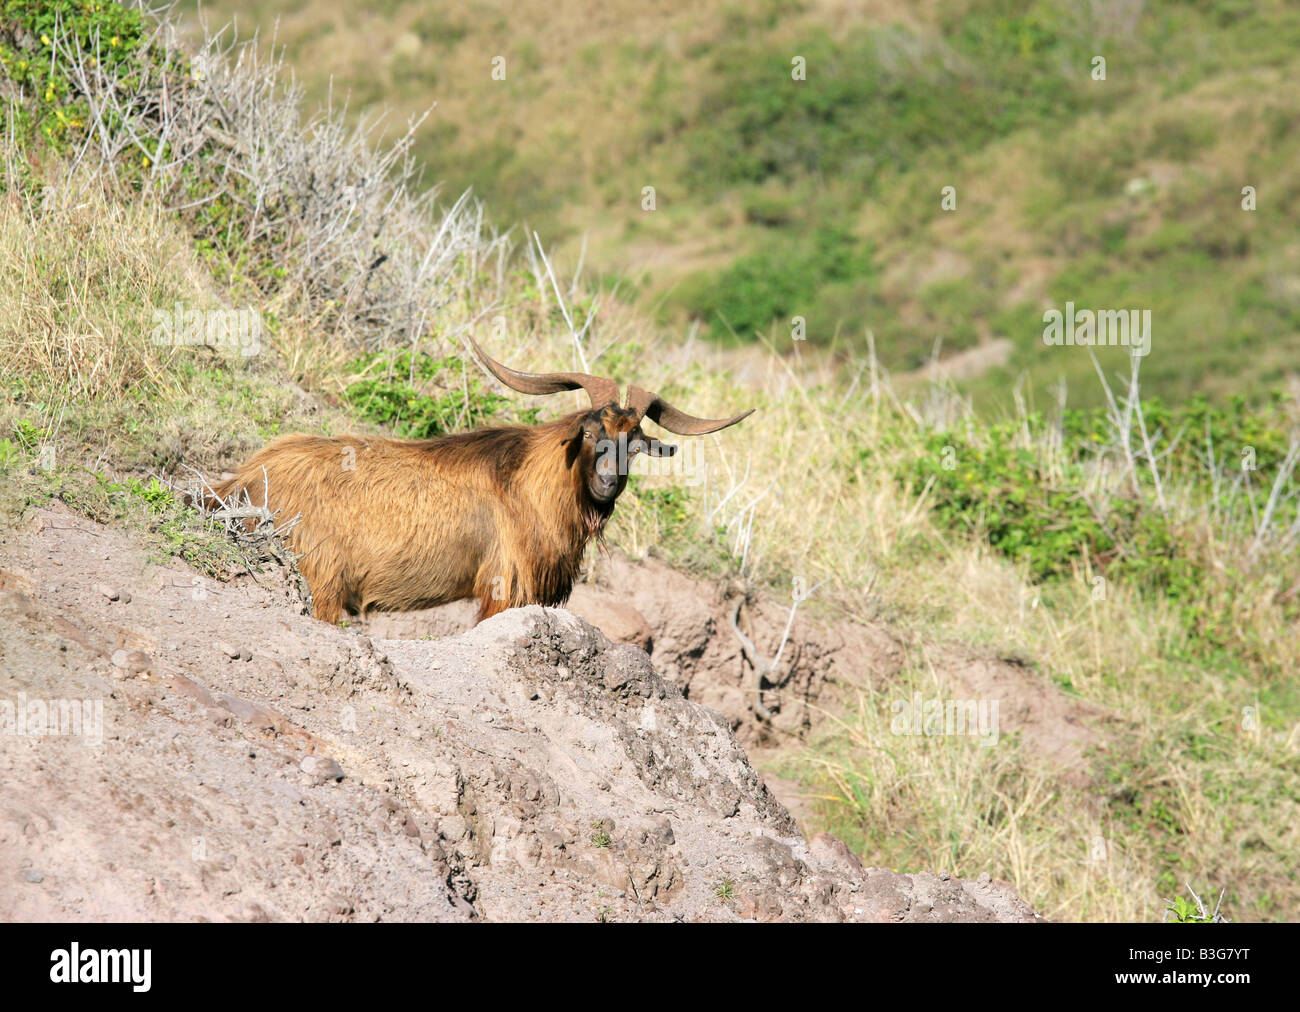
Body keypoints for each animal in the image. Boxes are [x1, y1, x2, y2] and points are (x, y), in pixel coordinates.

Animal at [202, 340, 754, 621]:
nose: (607, 484)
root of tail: (241, 485)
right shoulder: (504, 587)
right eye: (589, 431)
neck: (528, 482)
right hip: (322, 584)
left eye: (635, 444)